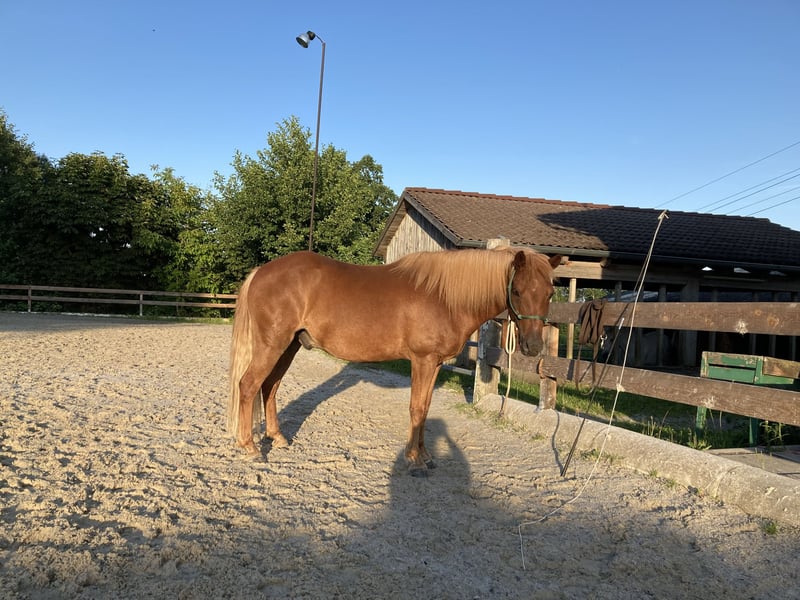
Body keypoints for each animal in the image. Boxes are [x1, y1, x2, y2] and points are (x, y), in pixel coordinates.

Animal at [227, 246, 560, 476]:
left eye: (549, 293)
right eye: (516, 290)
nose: (532, 347)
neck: (444, 297)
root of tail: (262, 271)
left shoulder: (435, 364)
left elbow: (426, 408)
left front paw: (425, 456)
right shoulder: (423, 361)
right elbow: (416, 408)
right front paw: (413, 460)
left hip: (290, 346)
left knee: (269, 386)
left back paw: (277, 438)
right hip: (273, 344)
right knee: (249, 385)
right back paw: (250, 447)